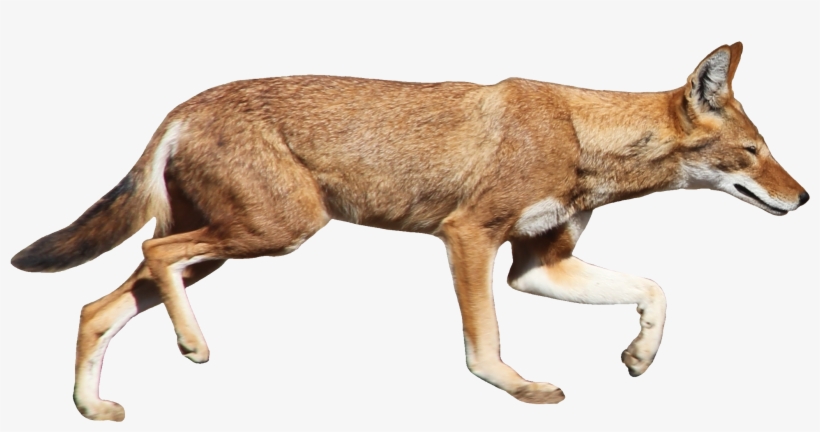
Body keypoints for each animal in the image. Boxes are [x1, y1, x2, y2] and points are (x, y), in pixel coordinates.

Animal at [10, 42, 809, 421]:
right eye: (754, 152)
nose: (802, 198)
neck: (579, 133)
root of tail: (180, 106)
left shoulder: (536, 266)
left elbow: (656, 290)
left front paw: (640, 356)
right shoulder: (469, 237)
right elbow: (483, 345)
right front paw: (517, 389)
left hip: (235, 245)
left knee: (96, 306)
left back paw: (93, 409)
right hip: (275, 232)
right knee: (151, 252)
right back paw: (193, 344)